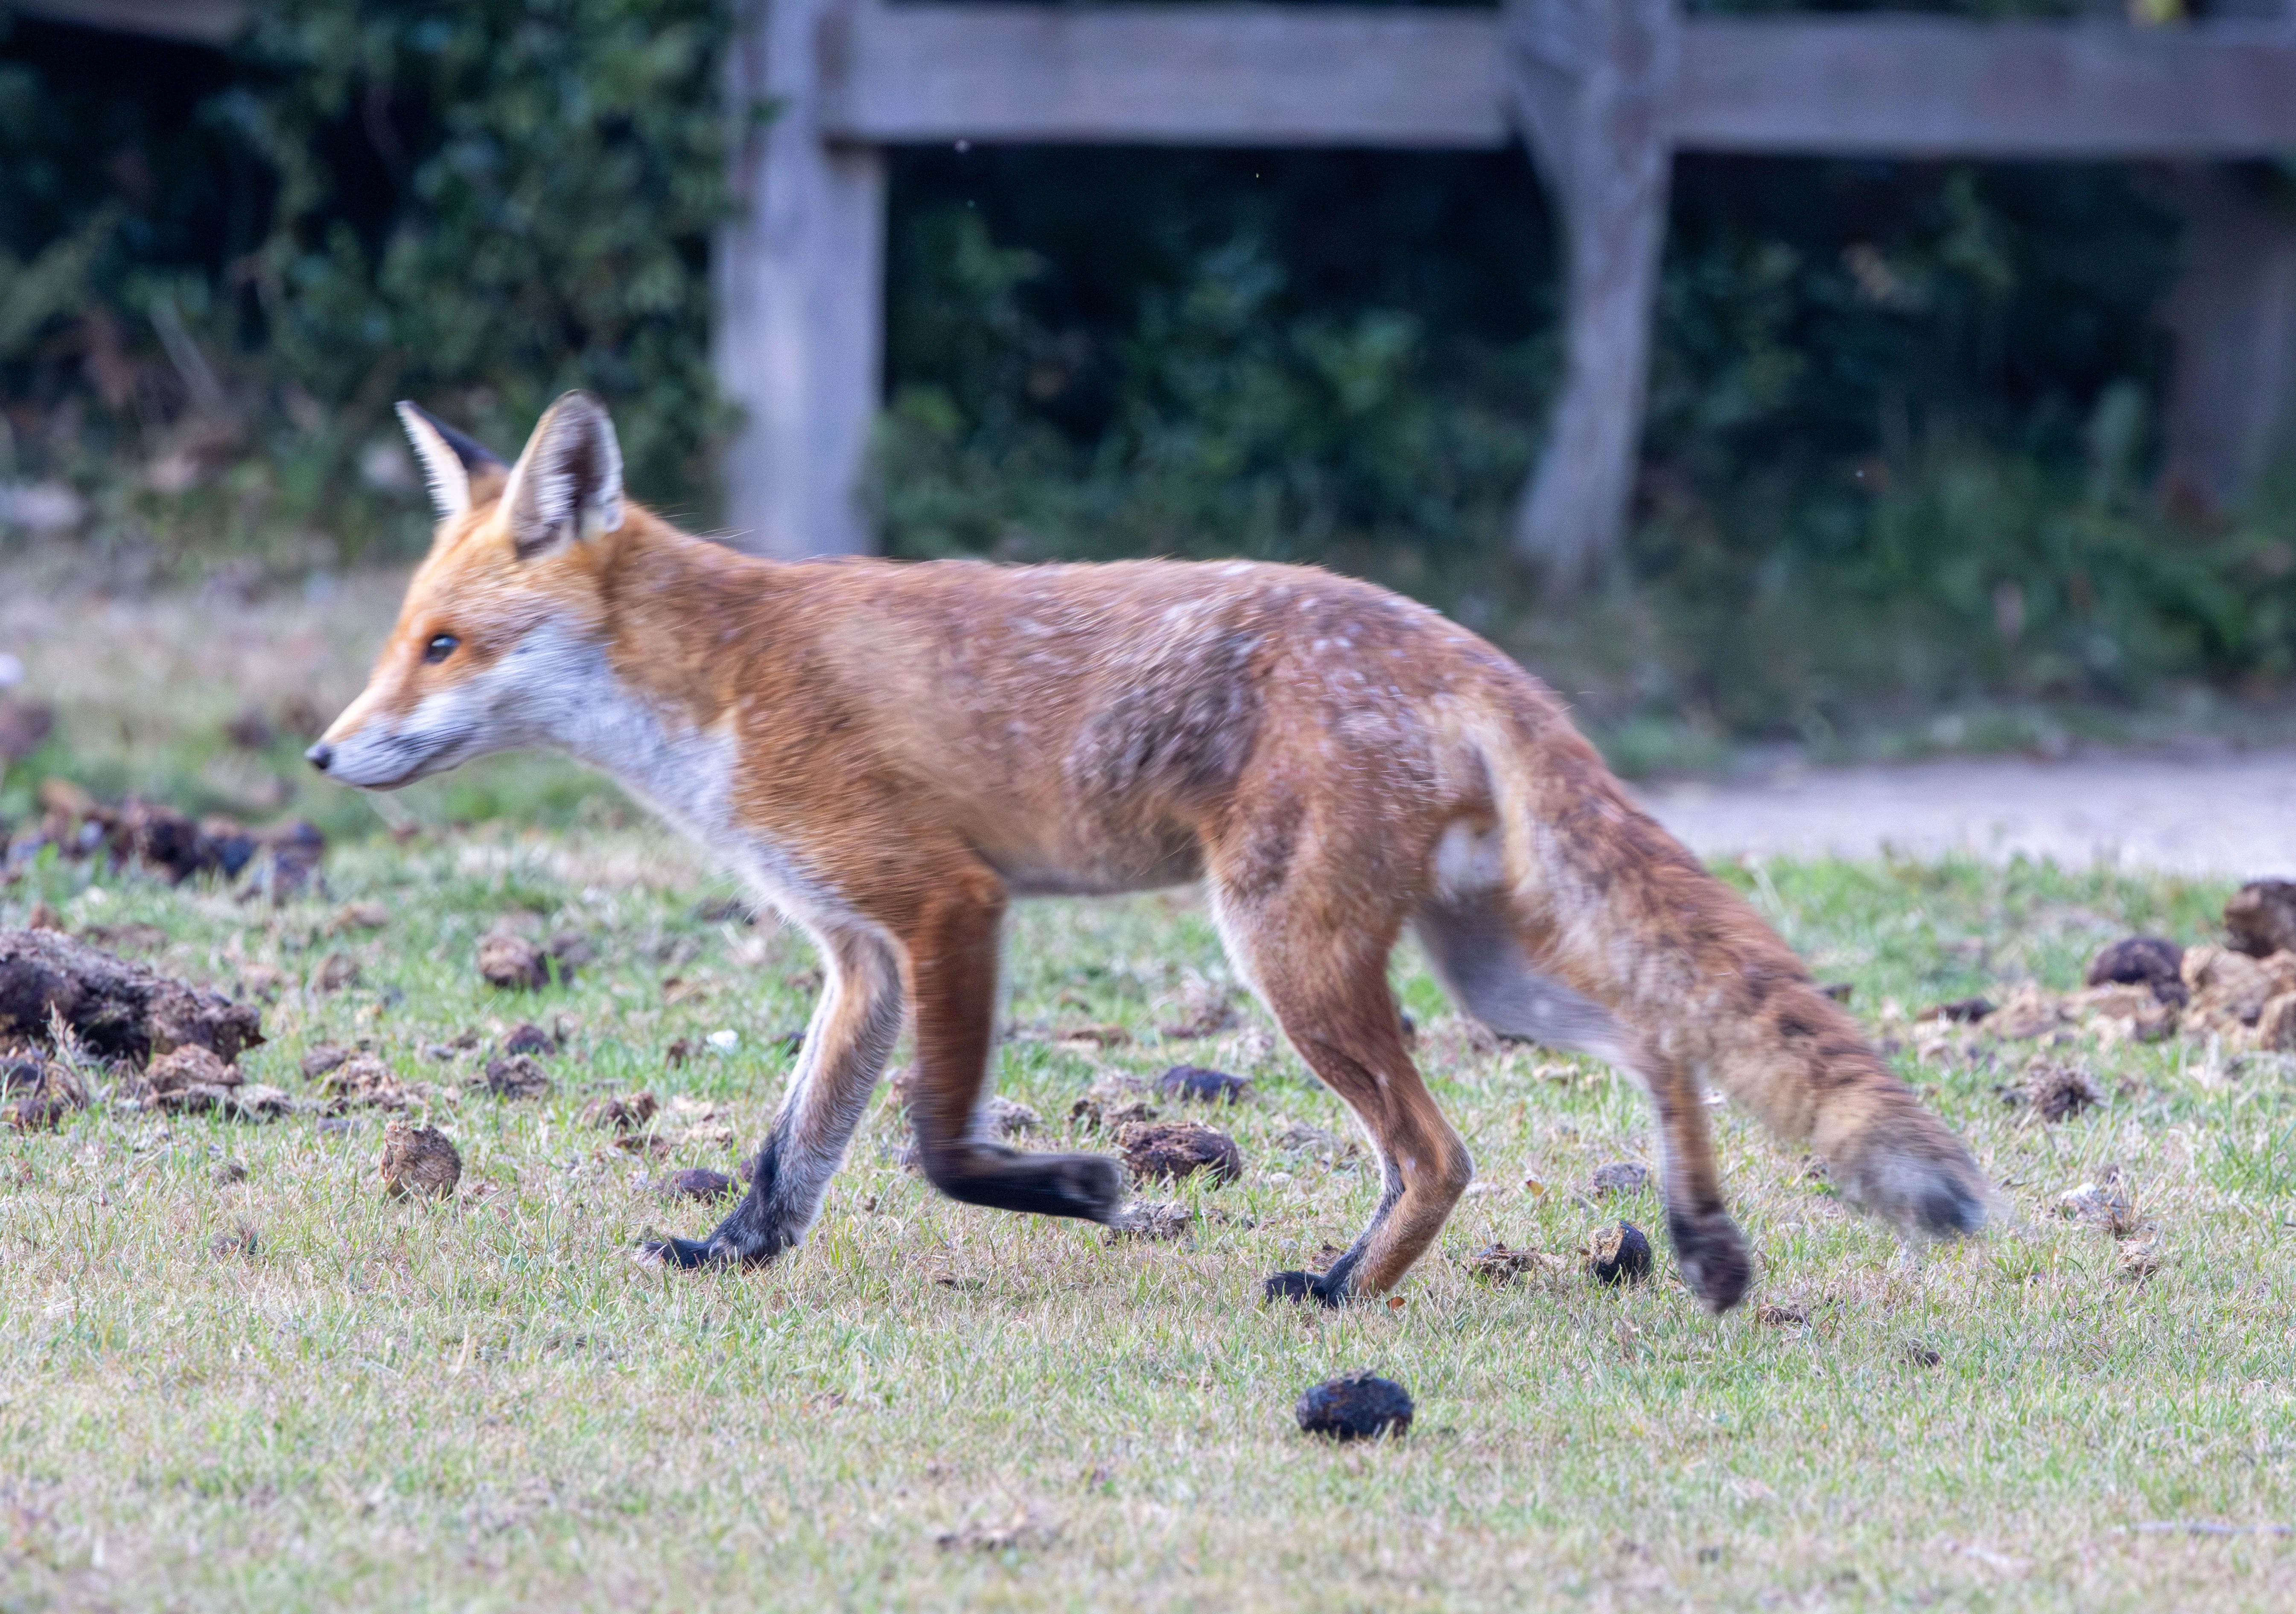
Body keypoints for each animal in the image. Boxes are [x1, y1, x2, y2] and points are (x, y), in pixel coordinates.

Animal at [310, 389, 1990, 1310]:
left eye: (445, 645)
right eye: (403, 636)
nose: (323, 755)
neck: (719, 689)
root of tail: (1450, 639)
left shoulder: (948, 904)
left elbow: (935, 1150)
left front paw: (1079, 1191)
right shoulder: (856, 952)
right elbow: (796, 1149)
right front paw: (730, 1256)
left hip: (1287, 954)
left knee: (1441, 1149)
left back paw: (1338, 1296)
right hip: (1483, 974)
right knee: (1656, 1034)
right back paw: (1701, 1246)